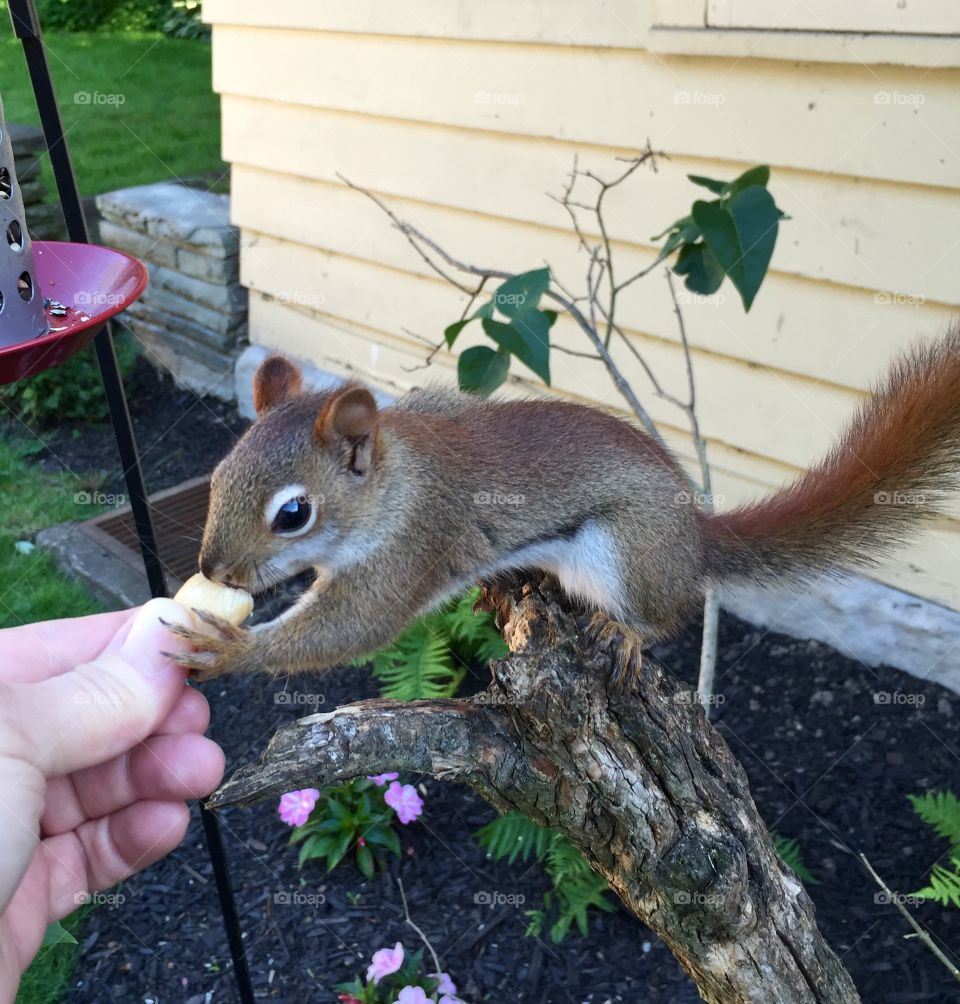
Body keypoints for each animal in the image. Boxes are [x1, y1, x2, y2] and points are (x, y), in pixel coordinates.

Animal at [167, 328, 960, 684]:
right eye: (218, 474)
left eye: (293, 514)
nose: (215, 570)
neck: (397, 477)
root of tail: (693, 534)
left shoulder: (413, 544)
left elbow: (353, 628)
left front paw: (230, 647)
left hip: (628, 553)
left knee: (671, 611)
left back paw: (627, 633)